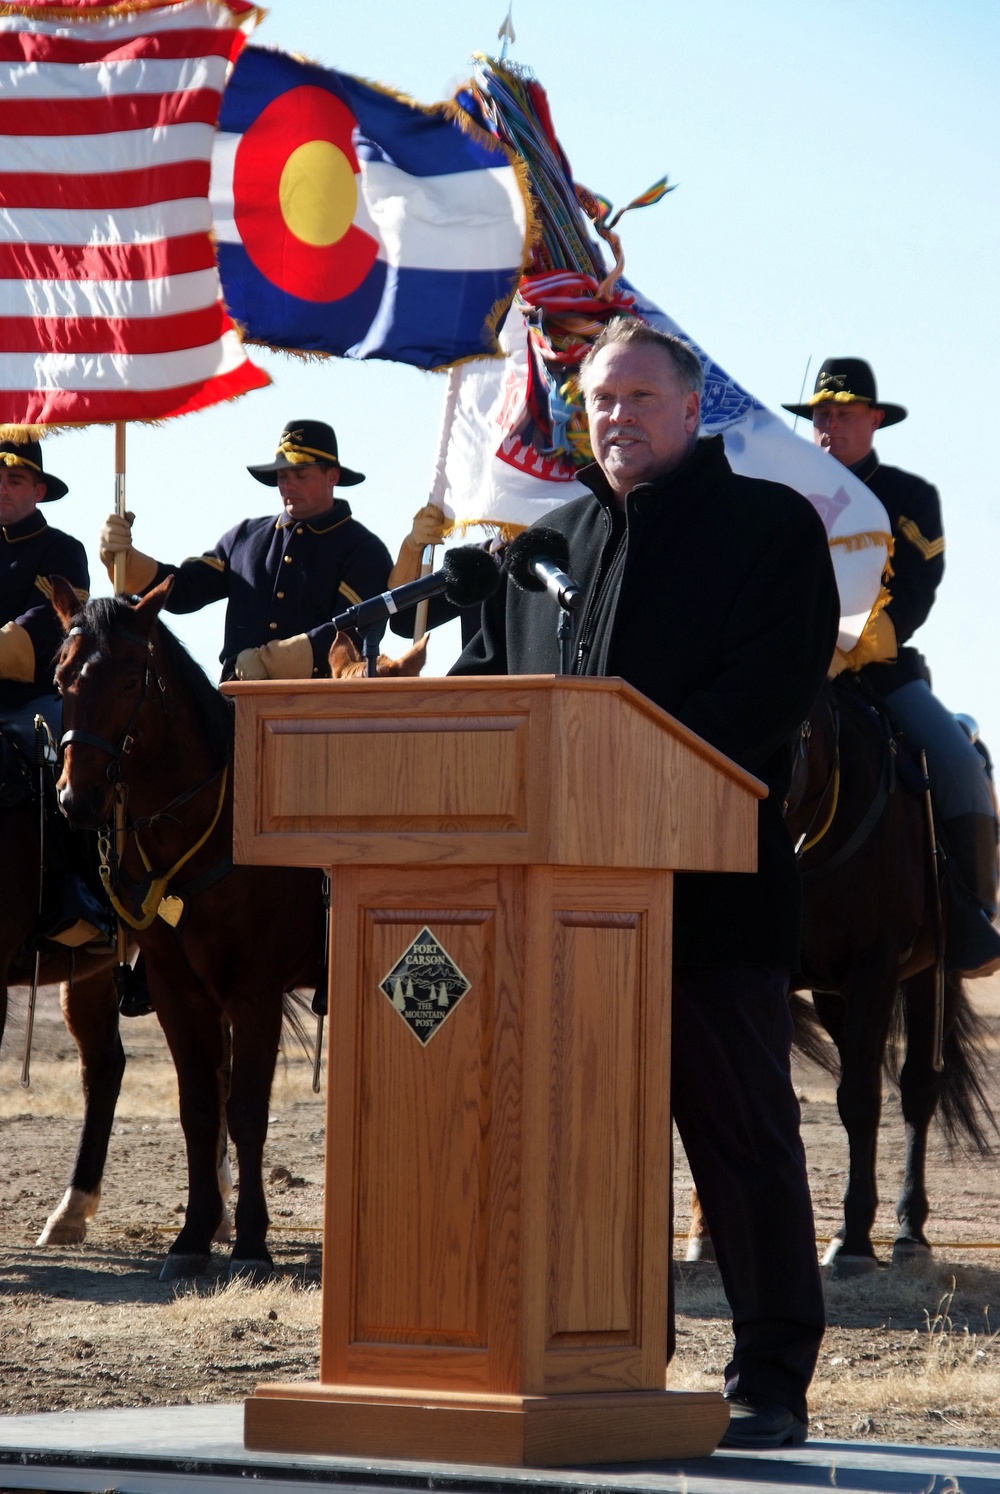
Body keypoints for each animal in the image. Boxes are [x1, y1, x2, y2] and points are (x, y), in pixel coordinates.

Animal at [681, 675, 992, 1272]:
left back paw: (909, 1232)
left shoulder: (876, 967)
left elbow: (861, 1098)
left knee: (918, 1089)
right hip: (834, 997)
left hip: (928, 978)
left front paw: (853, 1241)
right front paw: (707, 1236)